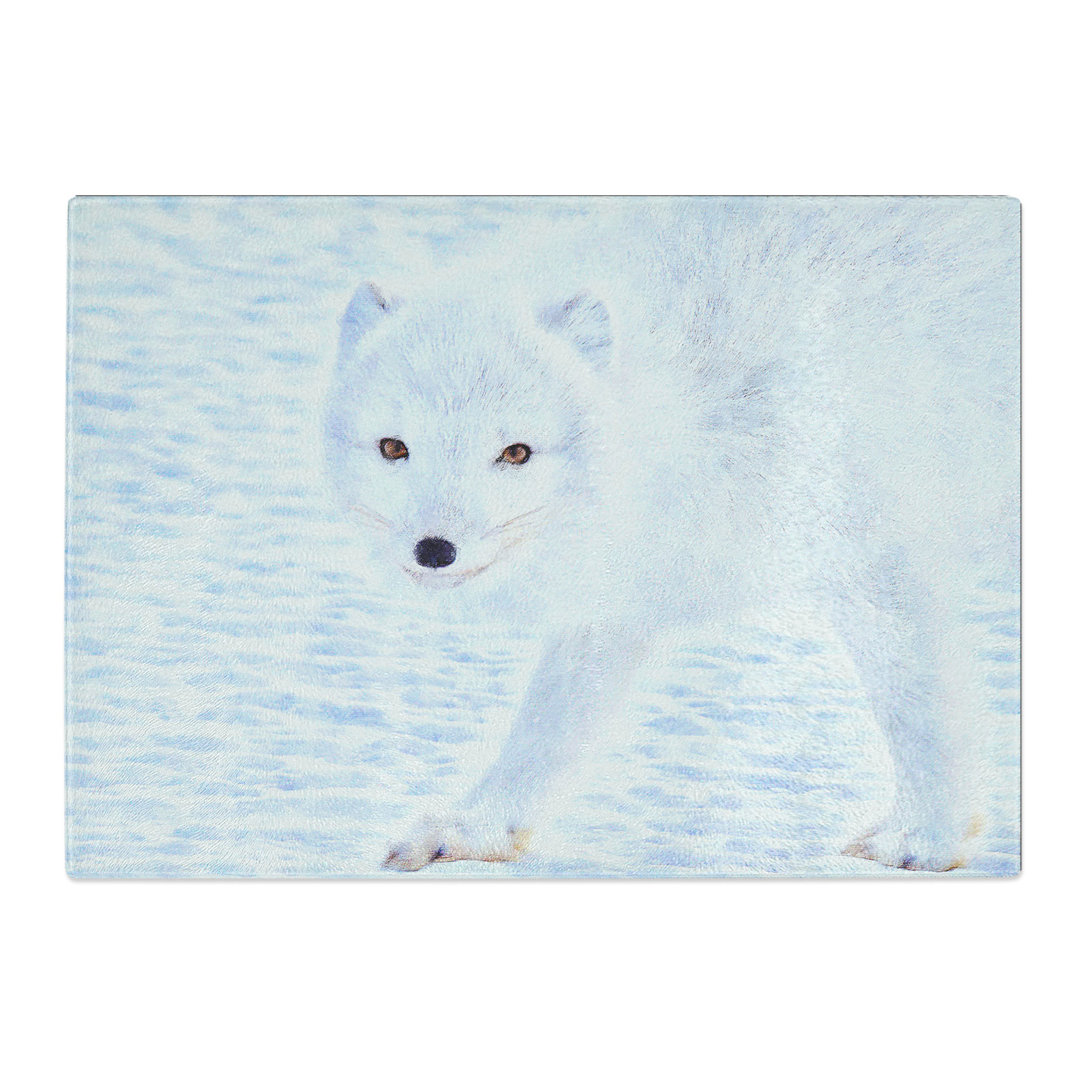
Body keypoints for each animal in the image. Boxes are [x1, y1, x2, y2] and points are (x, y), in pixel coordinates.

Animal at [324, 197, 1019, 873]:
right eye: (394, 448)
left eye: (516, 452)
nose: (434, 551)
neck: (696, 394)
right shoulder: (624, 587)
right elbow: (547, 727)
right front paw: (474, 830)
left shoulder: (875, 554)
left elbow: (919, 708)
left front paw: (925, 840)